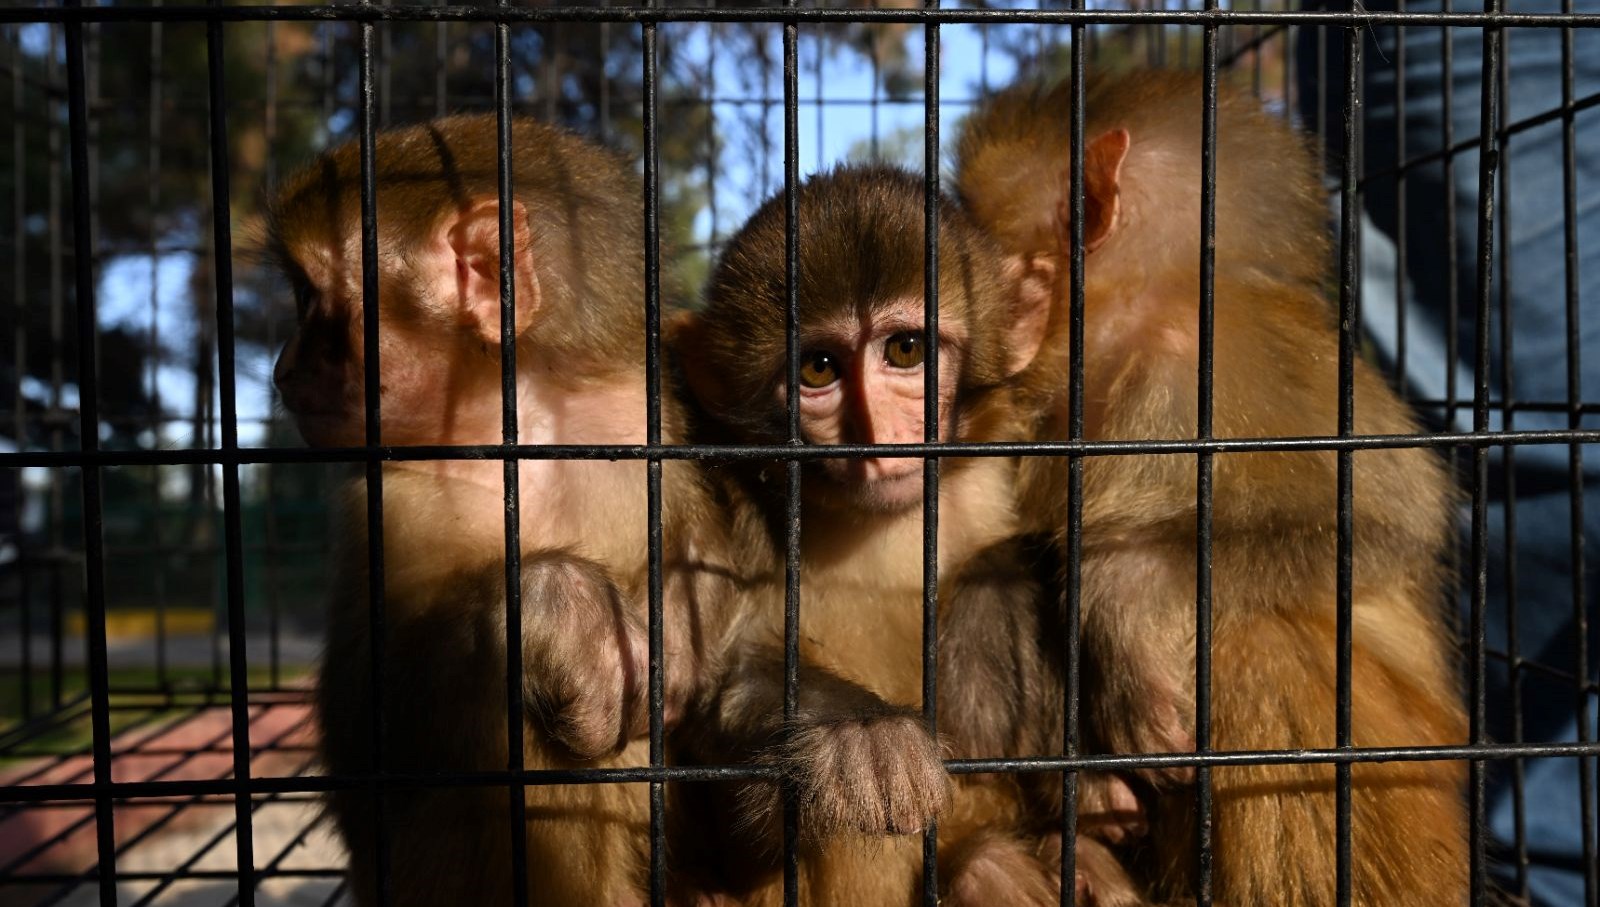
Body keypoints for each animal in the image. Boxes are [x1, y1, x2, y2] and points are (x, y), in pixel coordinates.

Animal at [264, 111, 736, 907]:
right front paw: (560, 609)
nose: (283, 368)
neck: (521, 423)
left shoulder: (651, 425)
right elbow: (369, 748)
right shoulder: (386, 503)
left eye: (308, 300)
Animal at [665, 167, 1152, 907]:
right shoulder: (733, 499)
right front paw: (858, 734)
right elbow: (710, 676)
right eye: (819, 368)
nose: (877, 434)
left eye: (905, 350)